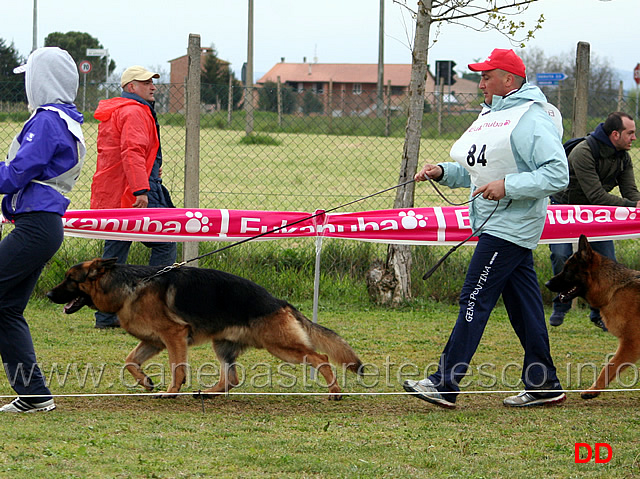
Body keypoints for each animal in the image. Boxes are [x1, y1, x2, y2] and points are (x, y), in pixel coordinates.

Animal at [47, 258, 362, 402]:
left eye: (70, 279)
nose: (49, 294)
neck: (129, 286)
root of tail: (279, 302)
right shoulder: (154, 342)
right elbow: (129, 362)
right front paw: (146, 381)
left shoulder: (173, 336)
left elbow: (177, 368)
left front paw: (171, 392)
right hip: (222, 346)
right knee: (232, 379)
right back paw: (209, 393)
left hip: (281, 347)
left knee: (320, 357)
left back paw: (335, 391)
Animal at [544, 236, 640, 402]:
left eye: (568, 270)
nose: (546, 284)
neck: (612, 290)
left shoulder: (631, 344)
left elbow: (609, 367)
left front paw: (593, 390)